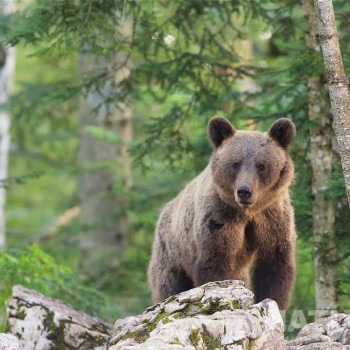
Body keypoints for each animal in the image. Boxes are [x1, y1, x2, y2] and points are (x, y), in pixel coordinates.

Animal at [146, 117, 296, 308]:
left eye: (261, 165)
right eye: (235, 164)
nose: (244, 191)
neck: (248, 211)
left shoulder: (273, 217)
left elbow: (275, 262)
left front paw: (272, 302)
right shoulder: (220, 216)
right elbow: (216, 259)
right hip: (171, 251)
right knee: (169, 283)